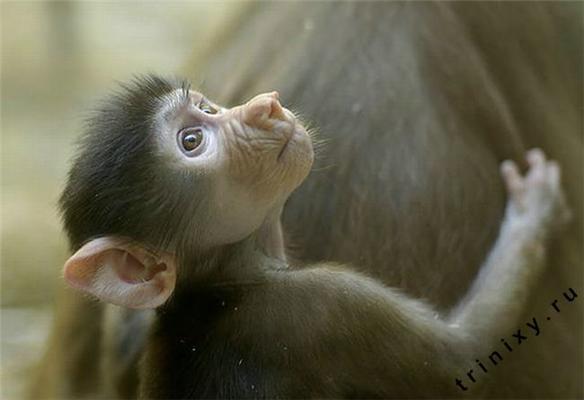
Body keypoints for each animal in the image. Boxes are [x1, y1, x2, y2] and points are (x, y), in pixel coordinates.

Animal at [60, 75, 572, 396]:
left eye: (206, 107)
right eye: (191, 141)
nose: (265, 104)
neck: (228, 284)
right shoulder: (323, 305)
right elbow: (465, 354)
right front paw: (532, 211)